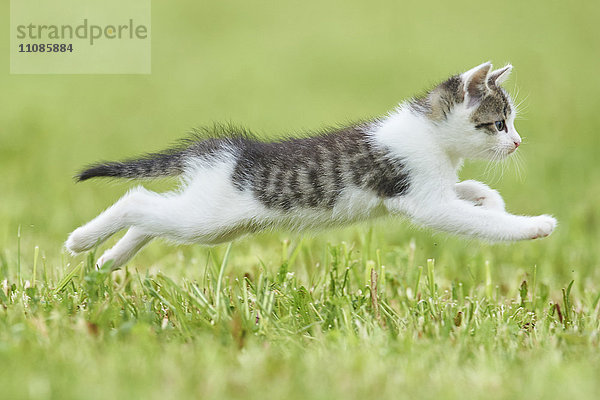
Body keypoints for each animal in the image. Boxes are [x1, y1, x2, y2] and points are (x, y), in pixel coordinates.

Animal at [65, 61, 556, 268]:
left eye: (511, 122)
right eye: (497, 123)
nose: (516, 142)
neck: (432, 136)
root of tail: (216, 149)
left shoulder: (430, 188)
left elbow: (470, 192)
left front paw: (487, 198)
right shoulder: (423, 200)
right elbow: (479, 223)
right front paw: (534, 225)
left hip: (212, 222)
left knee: (152, 216)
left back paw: (110, 258)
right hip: (209, 217)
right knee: (137, 200)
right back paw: (82, 240)